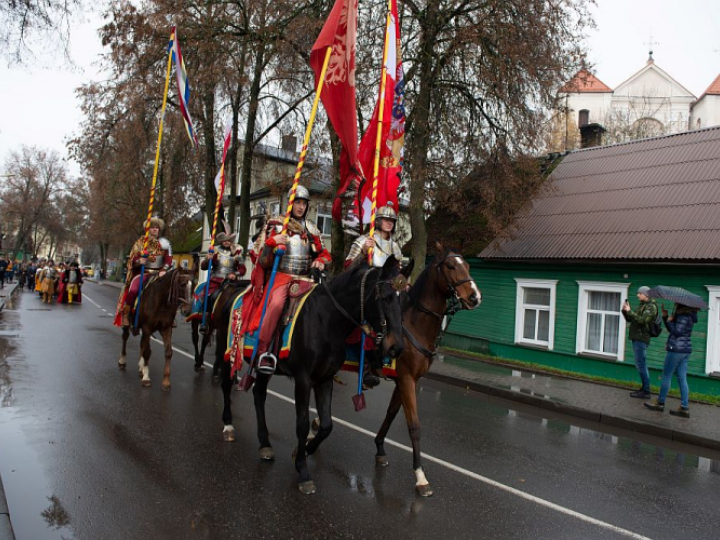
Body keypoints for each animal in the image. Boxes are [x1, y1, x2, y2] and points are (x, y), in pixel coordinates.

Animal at [219, 255, 404, 496]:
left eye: (402, 300)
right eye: (385, 297)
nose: (396, 347)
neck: (326, 319)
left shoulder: (324, 379)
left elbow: (326, 425)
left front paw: (305, 450)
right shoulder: (303, 380)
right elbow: (302, 424)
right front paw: (304, 472)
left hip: (264, 366)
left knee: (259, 394)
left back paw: (265, 444)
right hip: (226, 351)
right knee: (226, 384)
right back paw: (228, 426)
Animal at [374, 245, 480, 498]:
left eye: (467, 265)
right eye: (451, 266)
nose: (474, 296)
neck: (414, 325)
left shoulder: (405, 380)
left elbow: (391, 414)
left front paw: (380, 448)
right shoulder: (406, 380)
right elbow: (414, 426)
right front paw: (420, 476)